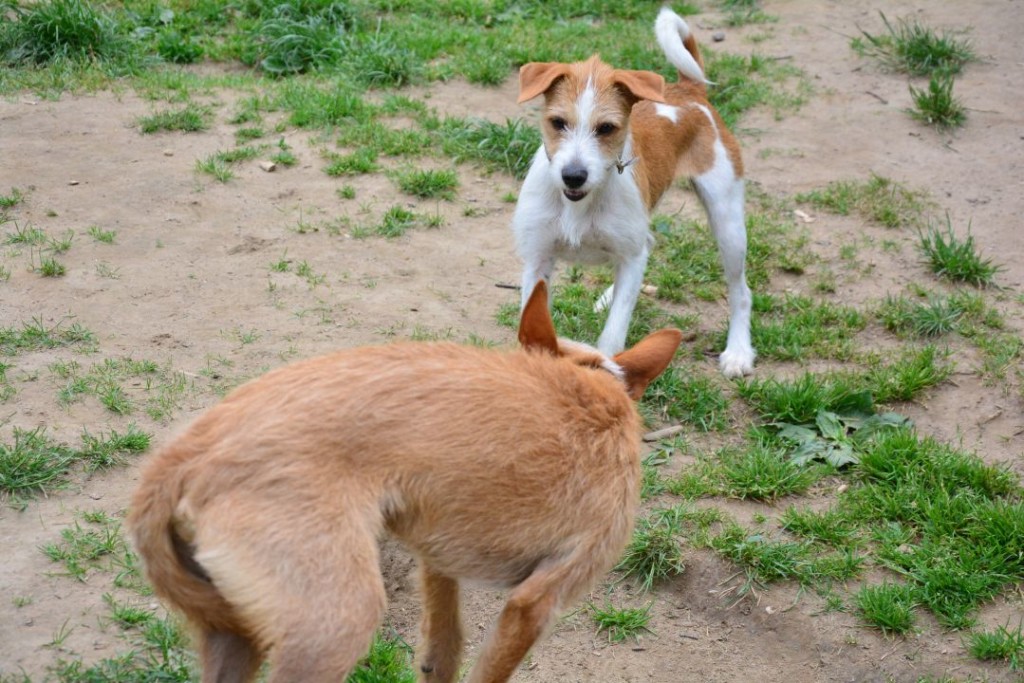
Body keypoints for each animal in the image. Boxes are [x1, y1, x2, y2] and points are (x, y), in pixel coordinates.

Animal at [128, 282, 684, 683]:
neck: (595, 383)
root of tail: (187, 454)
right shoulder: (536, 602)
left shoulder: (438, 561)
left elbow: (443, 651)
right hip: (335, 626)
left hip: (232, 633)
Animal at [509, 5, 753, 376]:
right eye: (558, 123)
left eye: (607, 128)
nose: (573, 176)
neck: (581, 204)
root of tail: (690, 92)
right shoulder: (538, 257)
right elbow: (532, 320)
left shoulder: (631, 257)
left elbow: (612, 336)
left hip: (727, 224)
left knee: (741, 291)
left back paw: (738, 351)